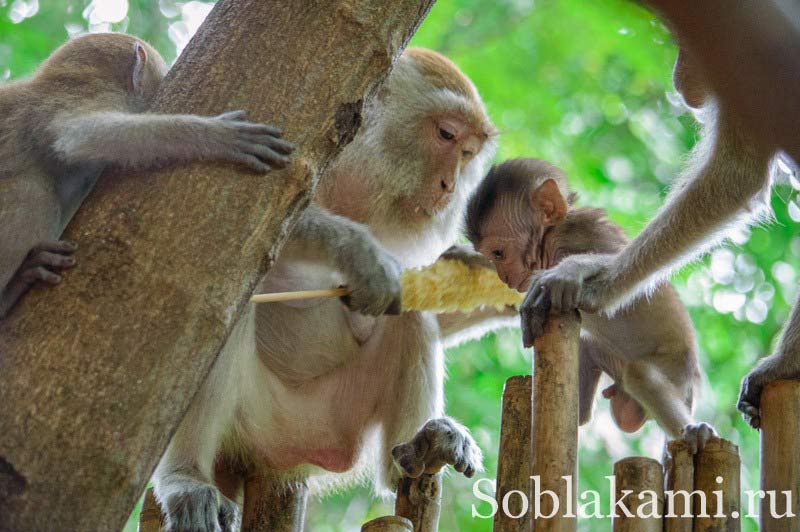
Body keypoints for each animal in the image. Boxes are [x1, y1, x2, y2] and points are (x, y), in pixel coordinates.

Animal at [153, 47, 510, 528]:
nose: (449, 186)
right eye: (446, 134)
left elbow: (413, 298)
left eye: (469, 153)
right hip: (257, 422)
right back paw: (185, 477)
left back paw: (417, 451)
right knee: (232, 301)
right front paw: (360, 252)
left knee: (408, 317)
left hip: (339, 421)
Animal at [466, 158, 716, 448]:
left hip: (676, 372)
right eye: (491, 257)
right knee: (589, 351)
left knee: (640, 374)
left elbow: (623, 263)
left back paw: (693, 429)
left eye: (498, 253)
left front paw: (571, 269)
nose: (503, 277)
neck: (549, 246)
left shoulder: (579, 235)